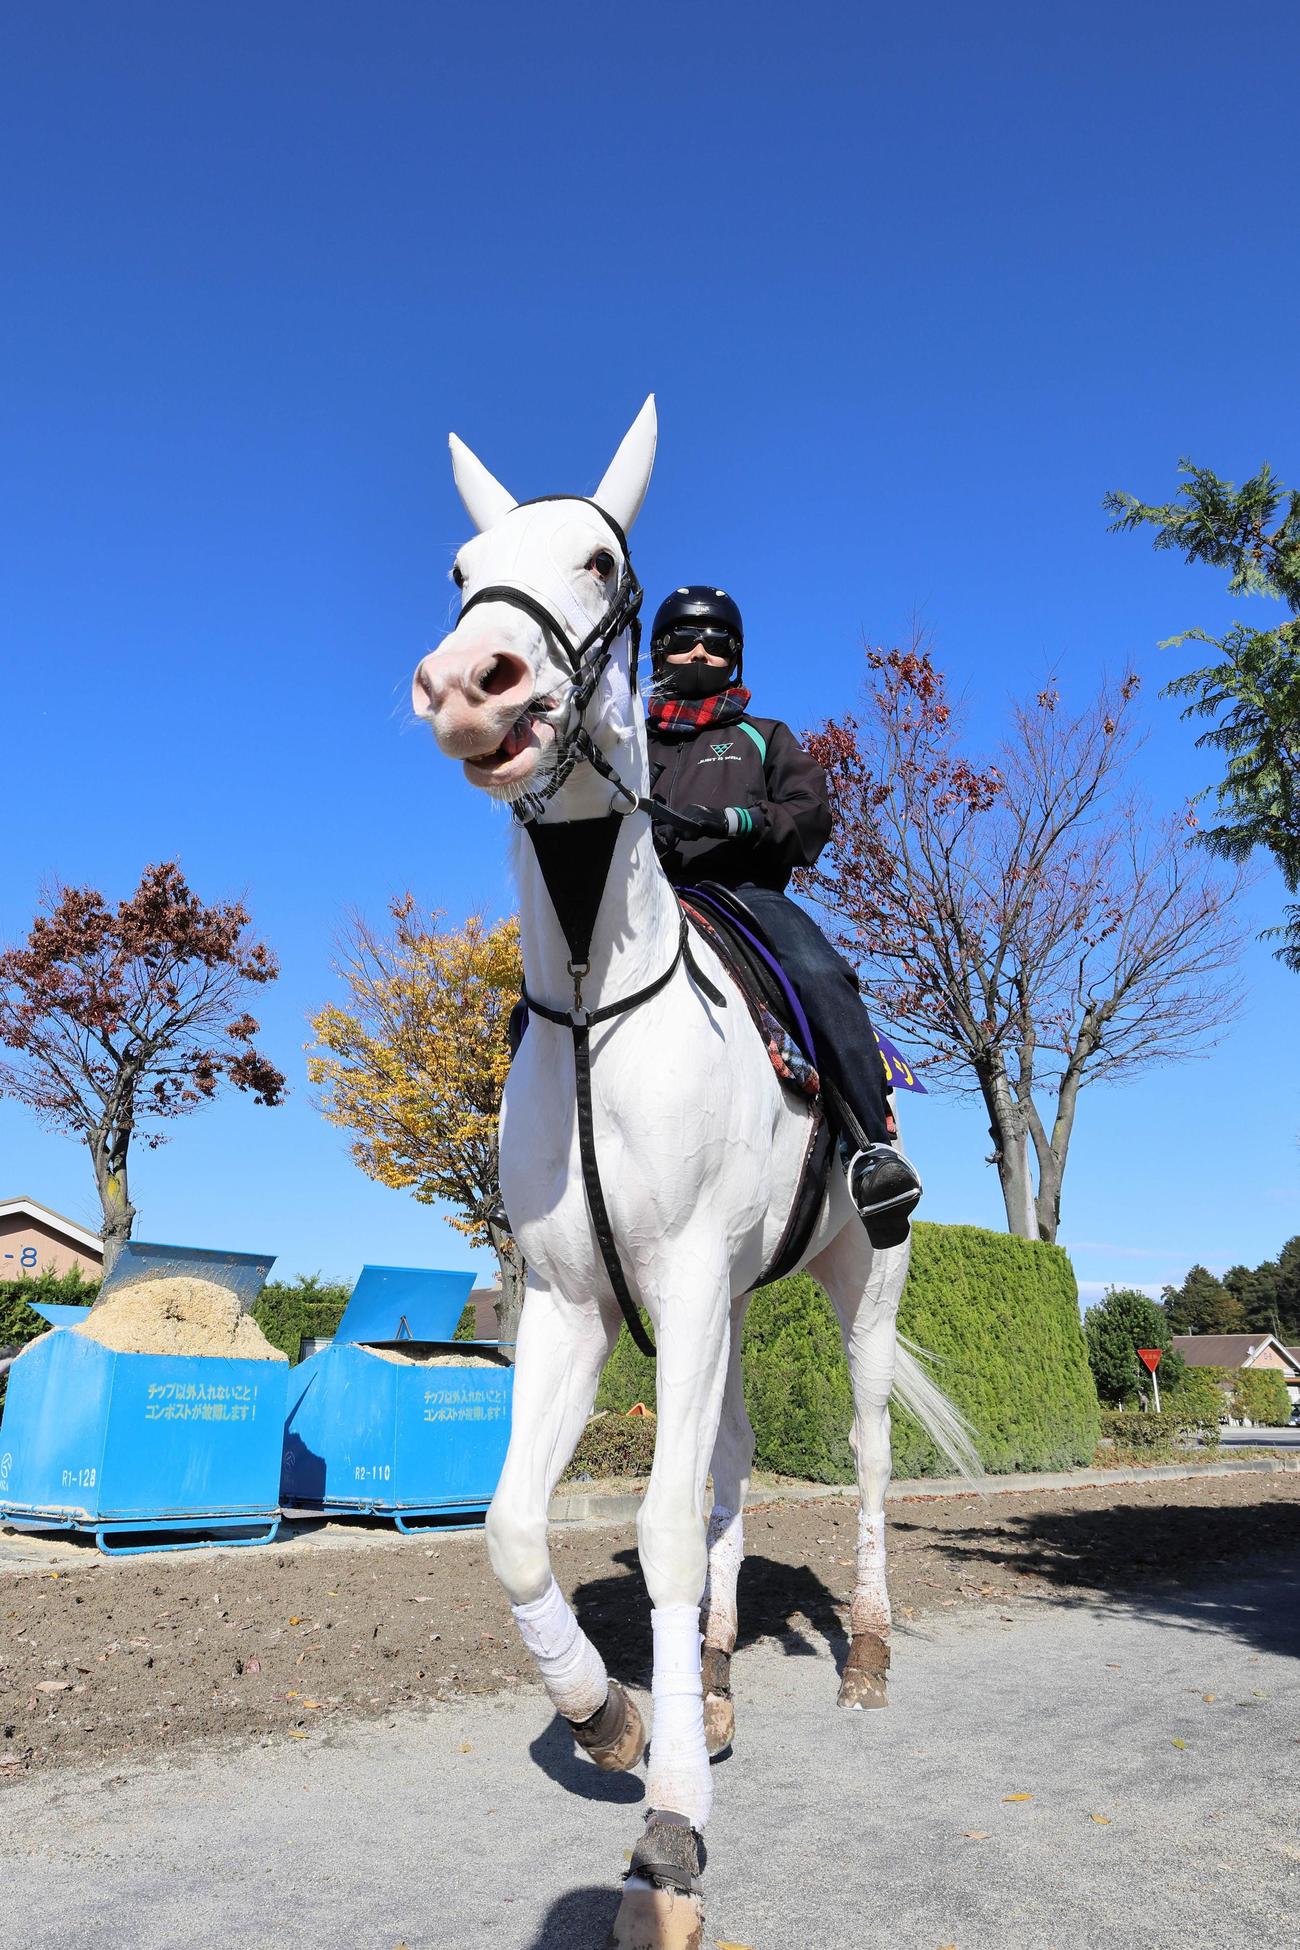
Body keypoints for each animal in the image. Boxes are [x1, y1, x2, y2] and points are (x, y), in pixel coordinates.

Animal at [411, 396, 976, 1949]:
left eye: (603, 560)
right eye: (462, 564)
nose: (470, 682)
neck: (600, 1002)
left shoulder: (677, 1292)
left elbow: (660, 1529)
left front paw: (668, 1833)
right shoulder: (579, 1308)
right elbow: (517, 1531)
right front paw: (615, 1718)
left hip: (857, 1293)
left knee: (860, 1456)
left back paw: (868, 1656)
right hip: (721, 1310)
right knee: (724, 1475)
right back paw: (712, 1684)